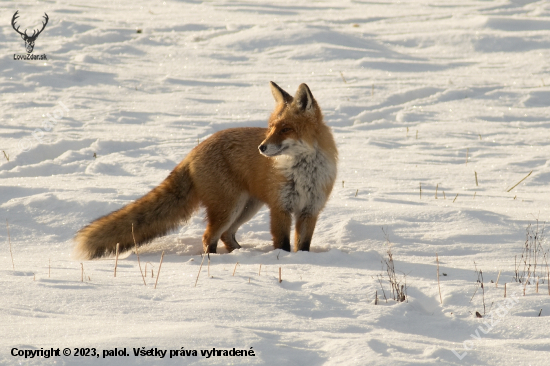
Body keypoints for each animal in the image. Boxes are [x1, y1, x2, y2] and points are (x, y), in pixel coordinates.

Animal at [74, 82, 338, 260]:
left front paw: (303, 260)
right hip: (229, 207)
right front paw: (284, 261)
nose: (261, 148)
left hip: (246, 207)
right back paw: (214, 261)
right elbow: (282, 244)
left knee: (225, 235)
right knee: (209, 236)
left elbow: (303, 245)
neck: (304, 173)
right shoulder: (280, 207)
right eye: (271, 127)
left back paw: (239, 255)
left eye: (285, 129)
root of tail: (194, 150)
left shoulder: (310, 210)